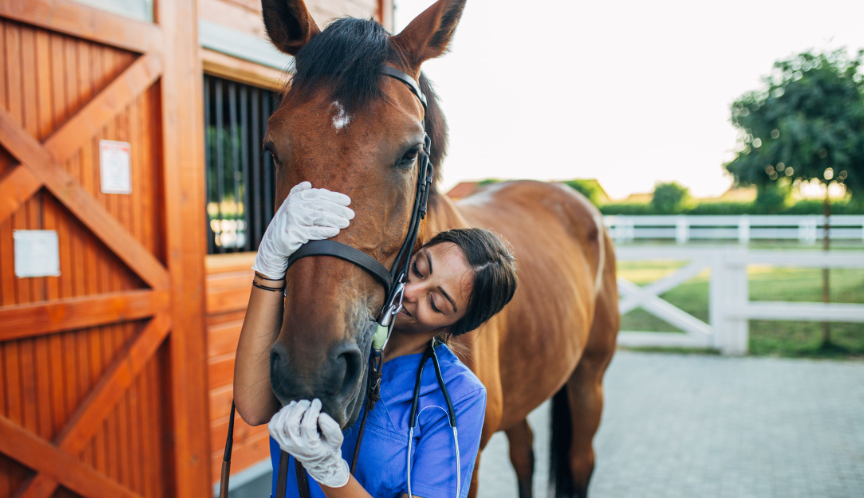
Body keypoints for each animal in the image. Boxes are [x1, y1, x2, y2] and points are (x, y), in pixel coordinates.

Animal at [258, 0, 620, 496]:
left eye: (411, 152)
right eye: (273, 148)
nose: (311, 370)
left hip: (589, 378)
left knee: (581, 460)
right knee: (524, 452)